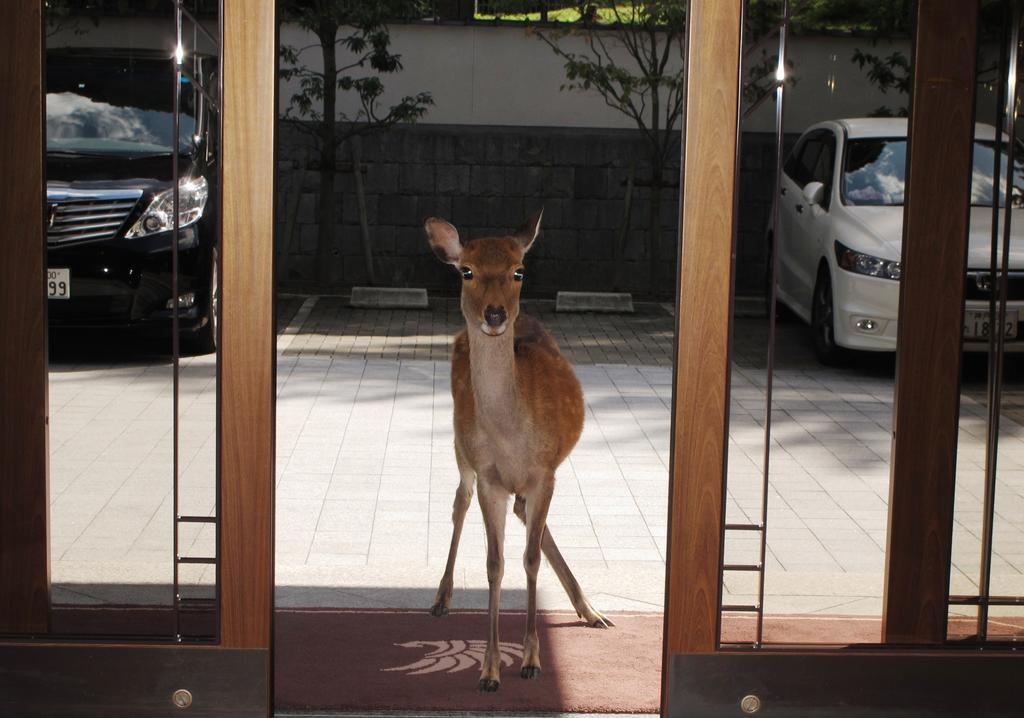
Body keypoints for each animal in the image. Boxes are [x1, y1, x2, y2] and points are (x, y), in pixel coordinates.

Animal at [421, 209, 610, 692]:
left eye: (518, 271)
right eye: (466, 271)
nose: (494, 314)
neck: (511, 436)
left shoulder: (545, 473)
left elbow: (528, 558)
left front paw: (531, 659)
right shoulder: (490, 477)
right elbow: (495, 563)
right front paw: (490, 670)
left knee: (527, 520)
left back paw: (591, 610)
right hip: (458, 443)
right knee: (459, 501)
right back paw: (441, 597)